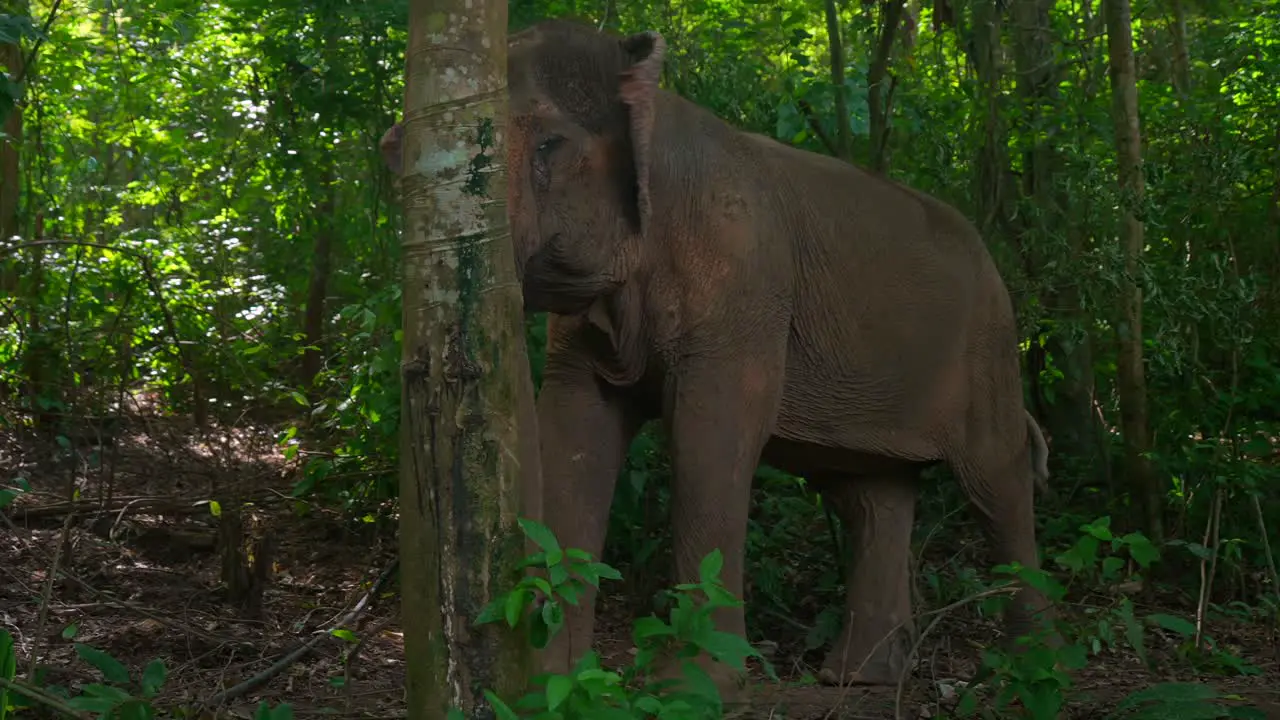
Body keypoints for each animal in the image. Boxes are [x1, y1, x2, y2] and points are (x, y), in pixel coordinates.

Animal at [376, 16, 1049, 691]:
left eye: (551, 144)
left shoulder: (742, 284)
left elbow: (711, 436)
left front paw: (694, 685)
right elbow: (575, 430)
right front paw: (552, 683)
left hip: (989, 346)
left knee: (996, 477)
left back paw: (1031, 665)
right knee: (872, 493)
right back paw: (860, 678)